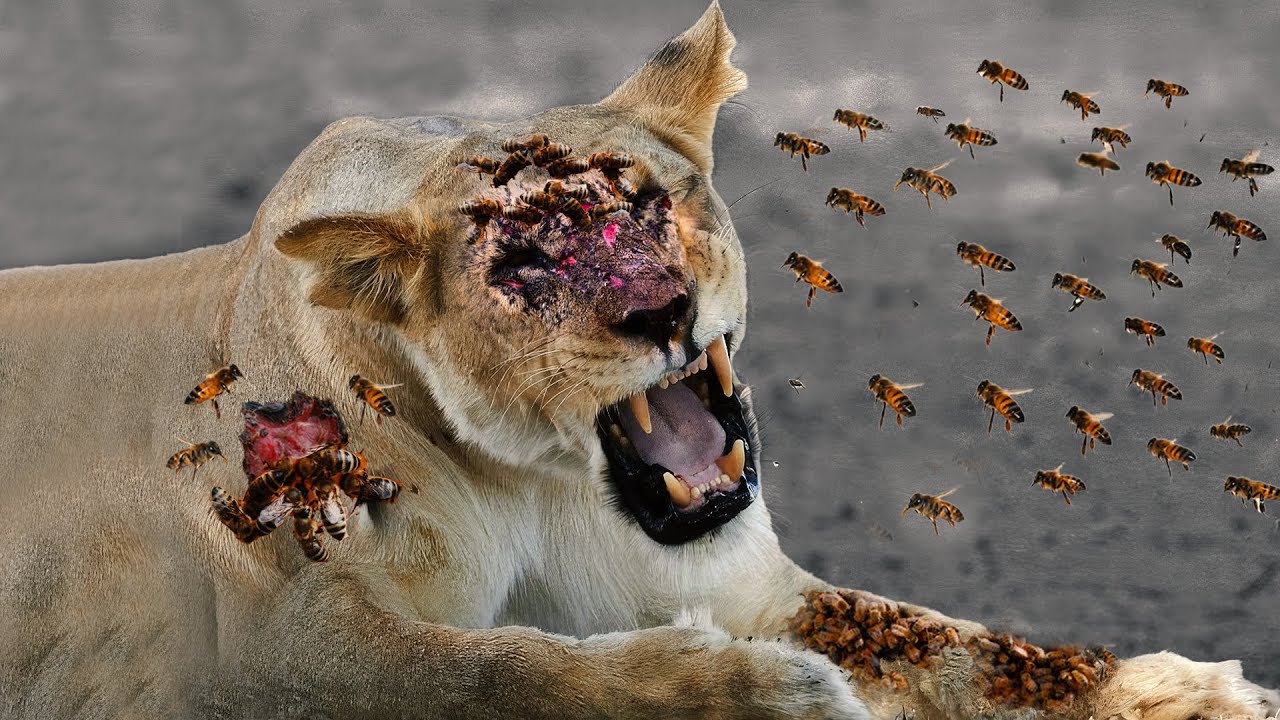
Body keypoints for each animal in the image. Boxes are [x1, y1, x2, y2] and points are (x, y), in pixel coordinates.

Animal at [0, 3, 1274, 719]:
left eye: (652, 207)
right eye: (521, 263)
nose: (662, 310)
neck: (536, 481)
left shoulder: (751, 585)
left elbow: (963, 647)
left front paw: (1182, 693)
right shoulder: (272, 650)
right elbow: (503, 675)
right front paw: (764, 696)